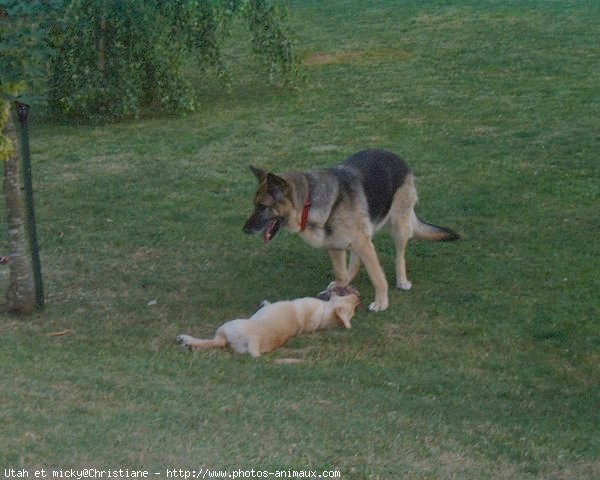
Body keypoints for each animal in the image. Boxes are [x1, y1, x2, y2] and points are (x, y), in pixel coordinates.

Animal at [244, 151, 460, 316]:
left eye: (262, 206)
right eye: (254, 205)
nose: (244, 230)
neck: (308, 201)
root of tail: (396, 156)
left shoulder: (361, 243)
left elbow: (377, 276)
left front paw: (381, 302)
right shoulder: (334, 245)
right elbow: (341, 273)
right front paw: (339, 289)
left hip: (398, 225)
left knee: (399, 256)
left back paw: (402, 280)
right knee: (356, 260)